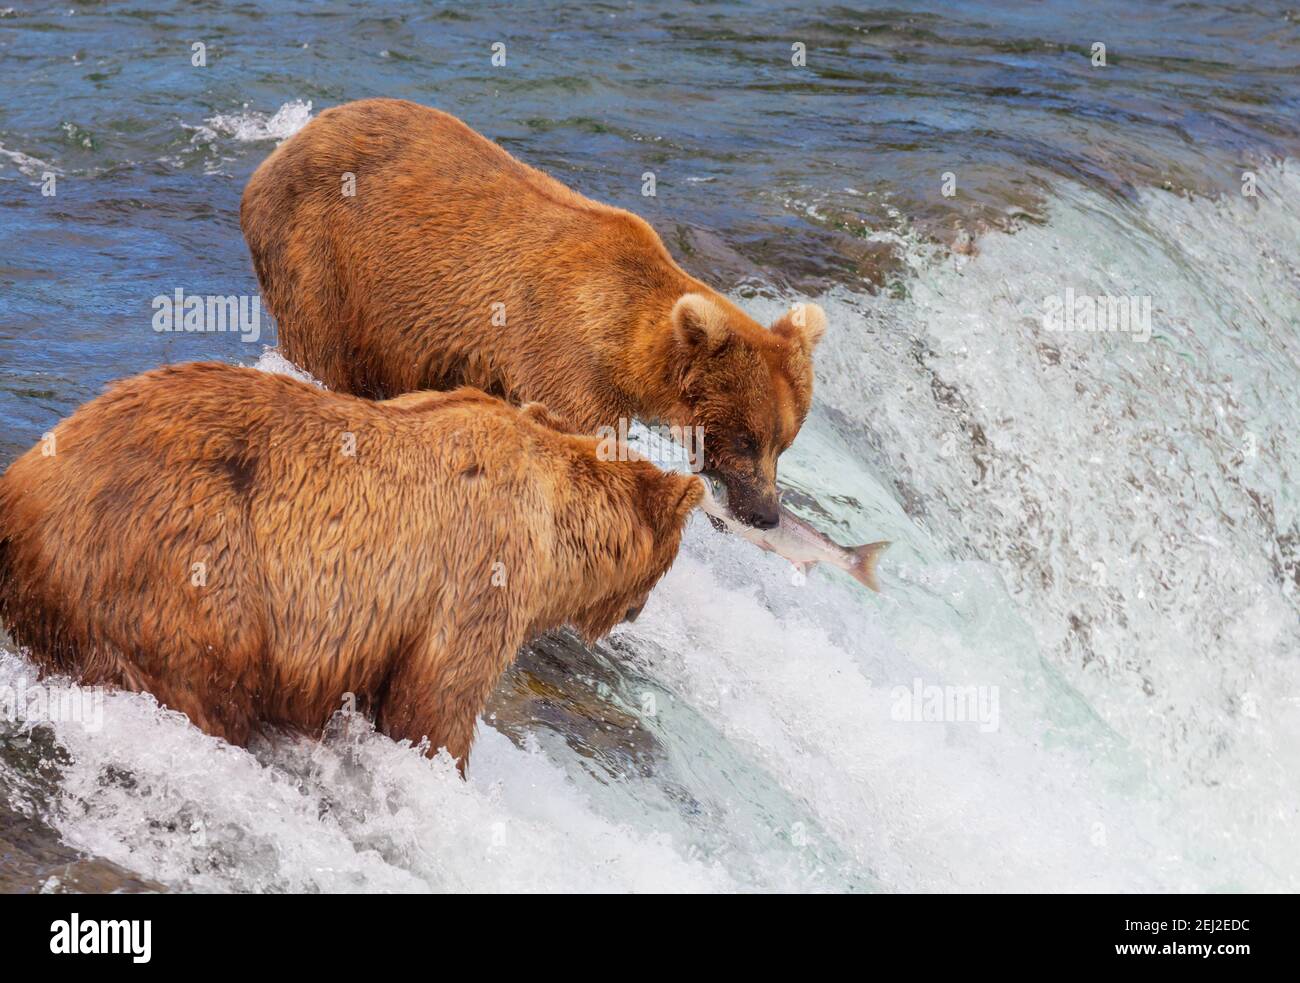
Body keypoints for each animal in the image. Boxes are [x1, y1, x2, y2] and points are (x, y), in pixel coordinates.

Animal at [0, 362, 702, 773]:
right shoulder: (483, 569)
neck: (558, 529)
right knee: (204, 676)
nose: (637, 611)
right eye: (666, 567)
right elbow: (436, 700)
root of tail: (23, 485)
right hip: (184, 556)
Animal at [240, 97, 826, 529]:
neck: (625, 348)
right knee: (324, 352)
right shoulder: (564, 362)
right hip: (324, 259)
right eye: (747, 438)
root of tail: (289, 143)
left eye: (785, 442)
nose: (767, 514)